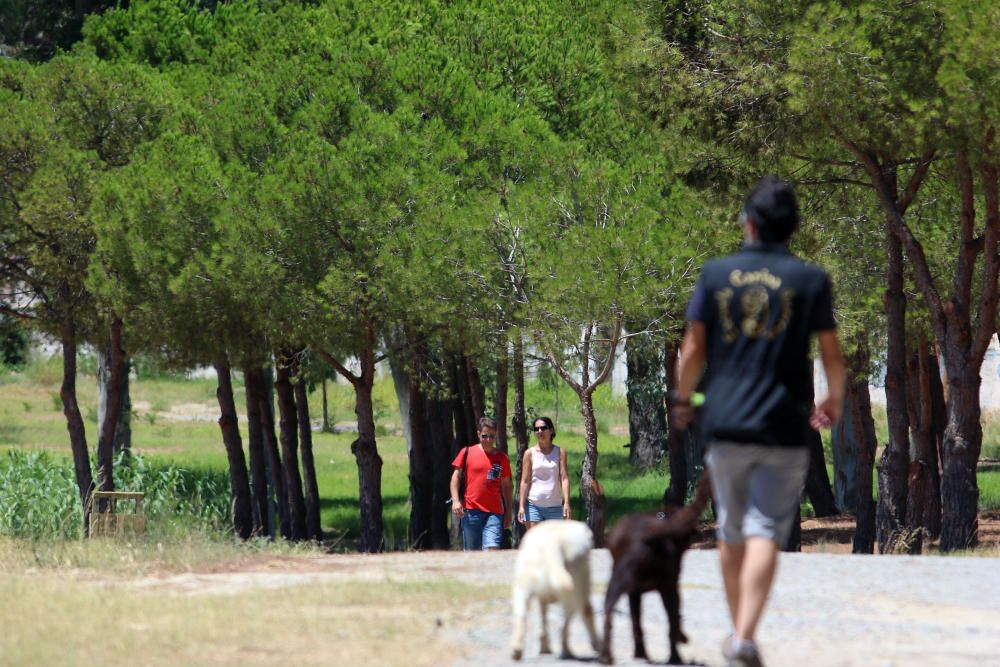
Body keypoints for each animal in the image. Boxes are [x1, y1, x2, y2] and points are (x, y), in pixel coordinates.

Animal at [512, 520, 596, 664]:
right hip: (577, 582)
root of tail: (554, 544)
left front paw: (544, 646)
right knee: (573, 618)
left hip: (524, 582)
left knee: (521, 614)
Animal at [592, 472, 712, 664]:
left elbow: (636, 620)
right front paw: (681, 641)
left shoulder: (634, 591)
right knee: (671, 615)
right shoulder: (670, 582)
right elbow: (673, 615)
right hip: (659, 582)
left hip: (618, 578)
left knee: (609, 608)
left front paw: (640, 653)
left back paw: (606, 656)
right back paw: (675, 656)